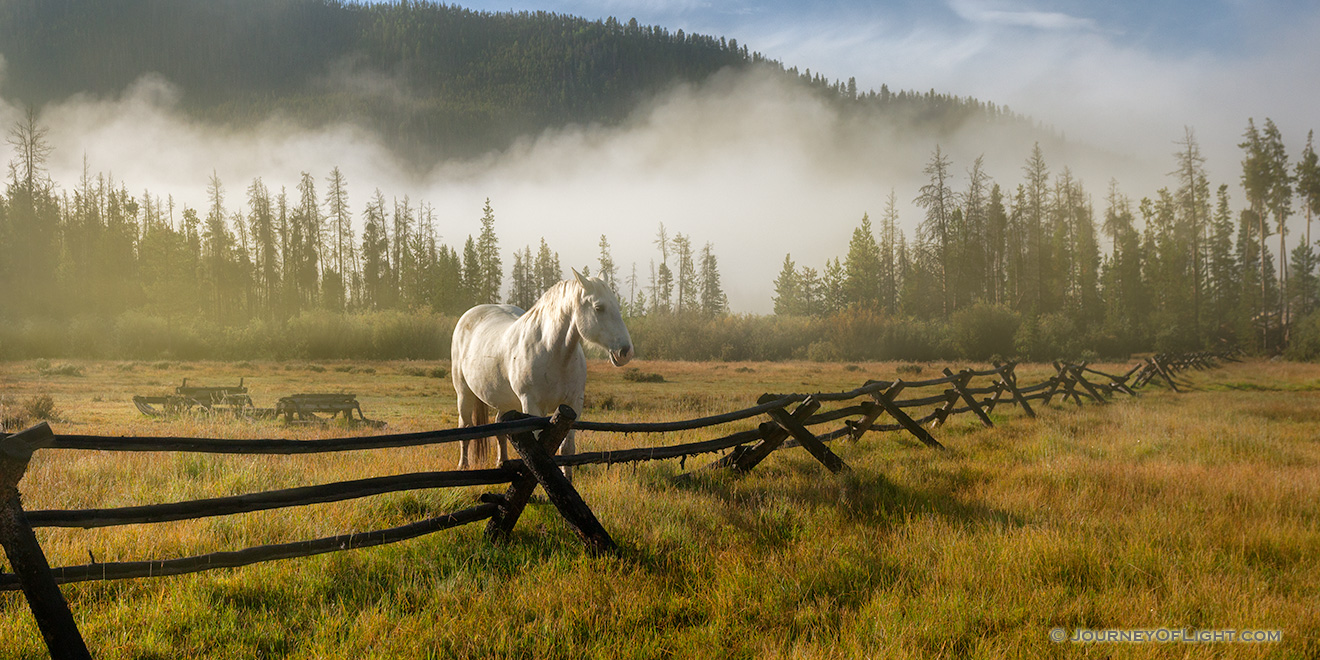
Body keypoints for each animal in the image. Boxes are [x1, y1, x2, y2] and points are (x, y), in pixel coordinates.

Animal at [451, 267, 630, 475]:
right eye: (599, 308)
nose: (625, 351)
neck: (552, 351)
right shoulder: (532, 405)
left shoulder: (573, 404)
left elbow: (567, 448)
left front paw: (568, 478)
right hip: (464, 393)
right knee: (465, 427)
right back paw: (463, 465)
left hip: (504, 401)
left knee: (500, 430)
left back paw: (502, 462)